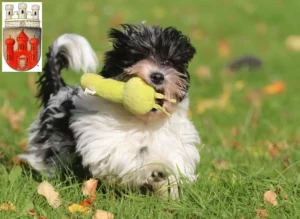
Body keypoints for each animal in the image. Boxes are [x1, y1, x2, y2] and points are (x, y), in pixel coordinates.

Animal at [19, 24, 200, 198]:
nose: (158, 76)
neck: (144, 121)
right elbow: (134, 157)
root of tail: (59, 90)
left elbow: (174, 164)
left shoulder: (175, 144)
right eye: (137, 57)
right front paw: (156, 169)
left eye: (169, 61)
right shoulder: (108, 146)